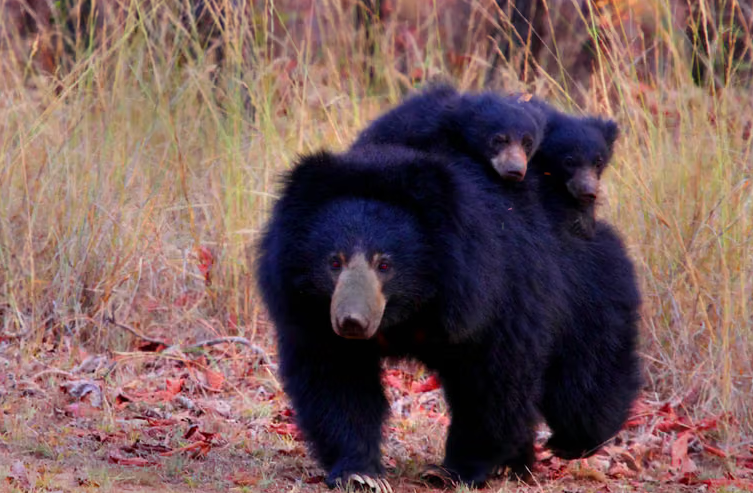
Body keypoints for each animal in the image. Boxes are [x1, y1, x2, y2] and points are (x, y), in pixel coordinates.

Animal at [256, 143, 572, 490]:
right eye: (334, 262)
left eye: (384, 264)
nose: (351, 322)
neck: (408, 311)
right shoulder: (310, 313)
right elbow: (336, 380)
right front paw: (361, 474)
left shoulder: (491, 300)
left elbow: (492, 379)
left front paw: (456, 470)